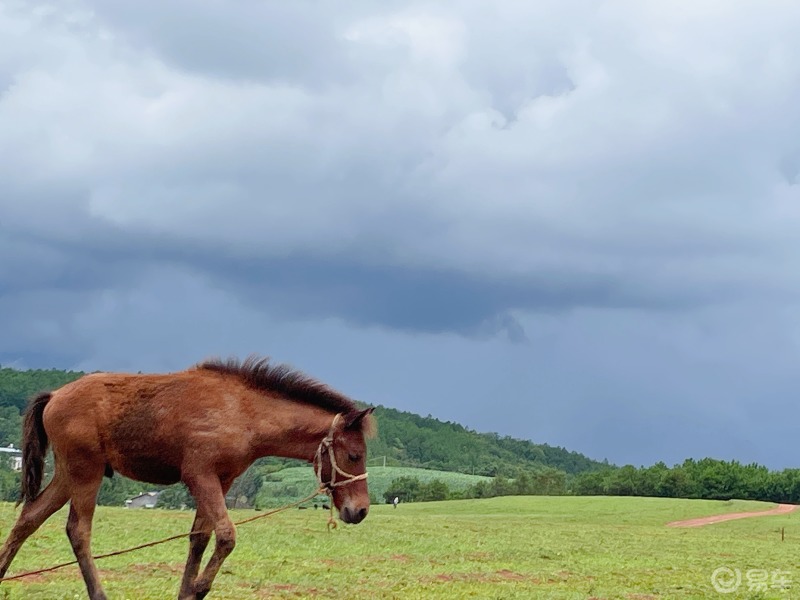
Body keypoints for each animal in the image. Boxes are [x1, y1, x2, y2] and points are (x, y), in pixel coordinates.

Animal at [0, 356, 376, 600]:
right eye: (354, 455)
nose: (359, 511)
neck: (242, 411)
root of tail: (54, 396)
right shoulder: (200, 476)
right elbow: (226, 536)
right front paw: (198, 588)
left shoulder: (221, 481)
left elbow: (199, 537)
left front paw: (187, 591)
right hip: (85, 473)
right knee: (78, 531)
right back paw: (99, 593)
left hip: (68, 475)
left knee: (28, 519)